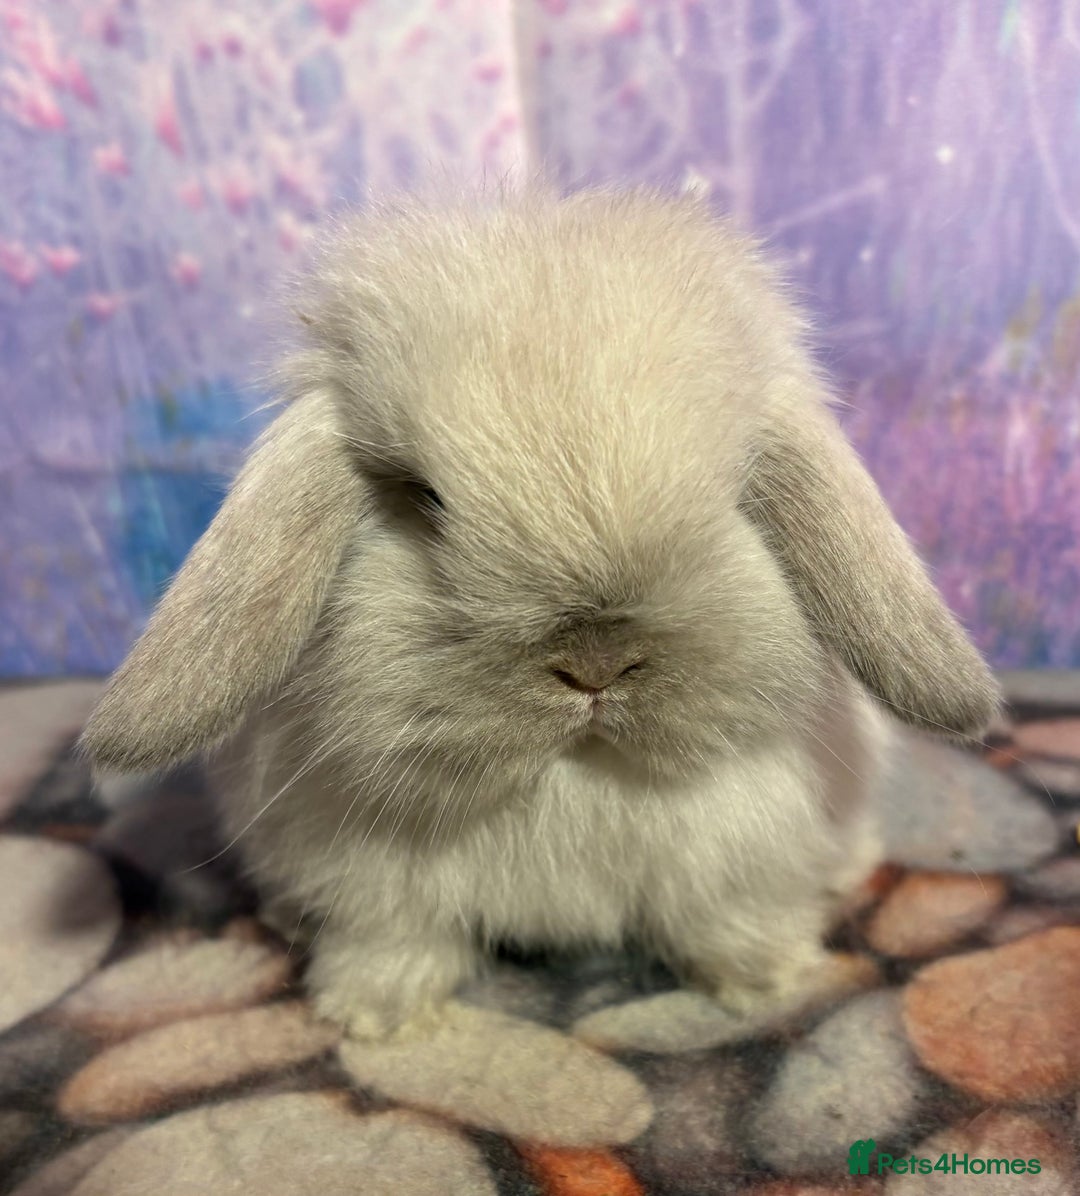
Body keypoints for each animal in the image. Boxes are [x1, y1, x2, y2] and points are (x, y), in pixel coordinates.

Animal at [80, 186, 1001, 1040]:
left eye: (733, 496)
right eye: (423, 499)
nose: (594, 666)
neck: (569, 779)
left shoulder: (741, 855)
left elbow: (731, 918)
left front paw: (765, 981)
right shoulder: (373, 885)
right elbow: (391, 942)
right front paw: (373, 1017)